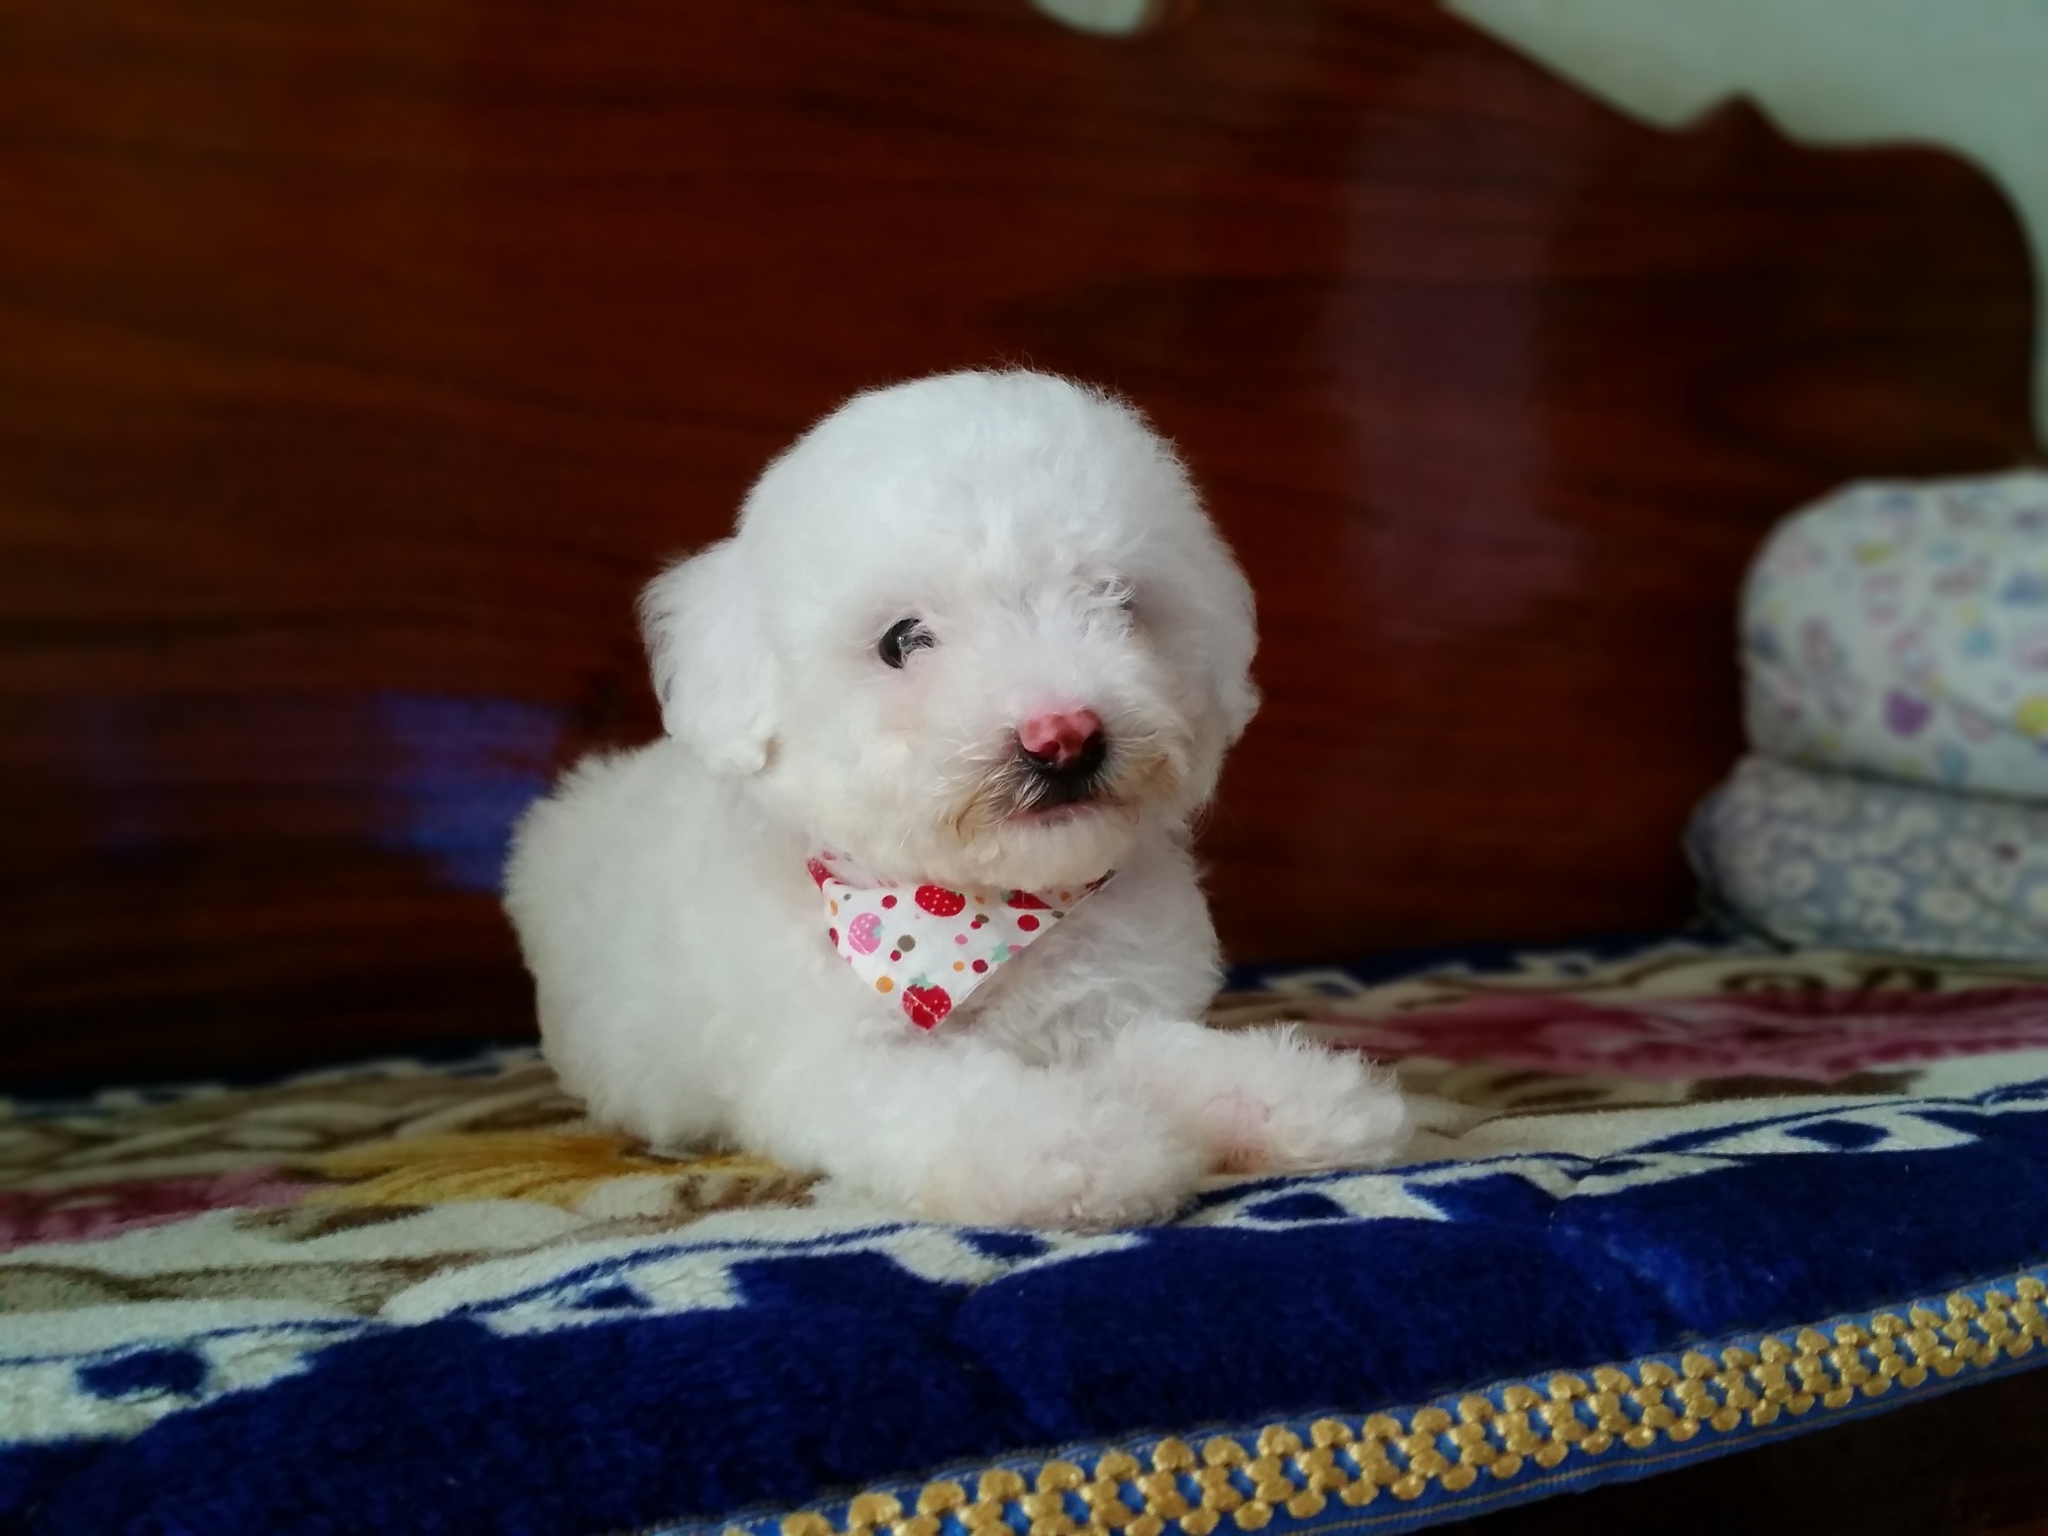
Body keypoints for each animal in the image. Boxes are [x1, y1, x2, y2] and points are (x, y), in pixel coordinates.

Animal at [504, 370, 1409, 1227]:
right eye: (902, 640)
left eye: (1119, 606)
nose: (1064, 735)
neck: (976, 912)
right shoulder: (850, 1066)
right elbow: (972, 1108)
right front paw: (1084, 1150)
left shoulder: (1104, 1015)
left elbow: (1173, 1058)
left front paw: (1297, 1096)